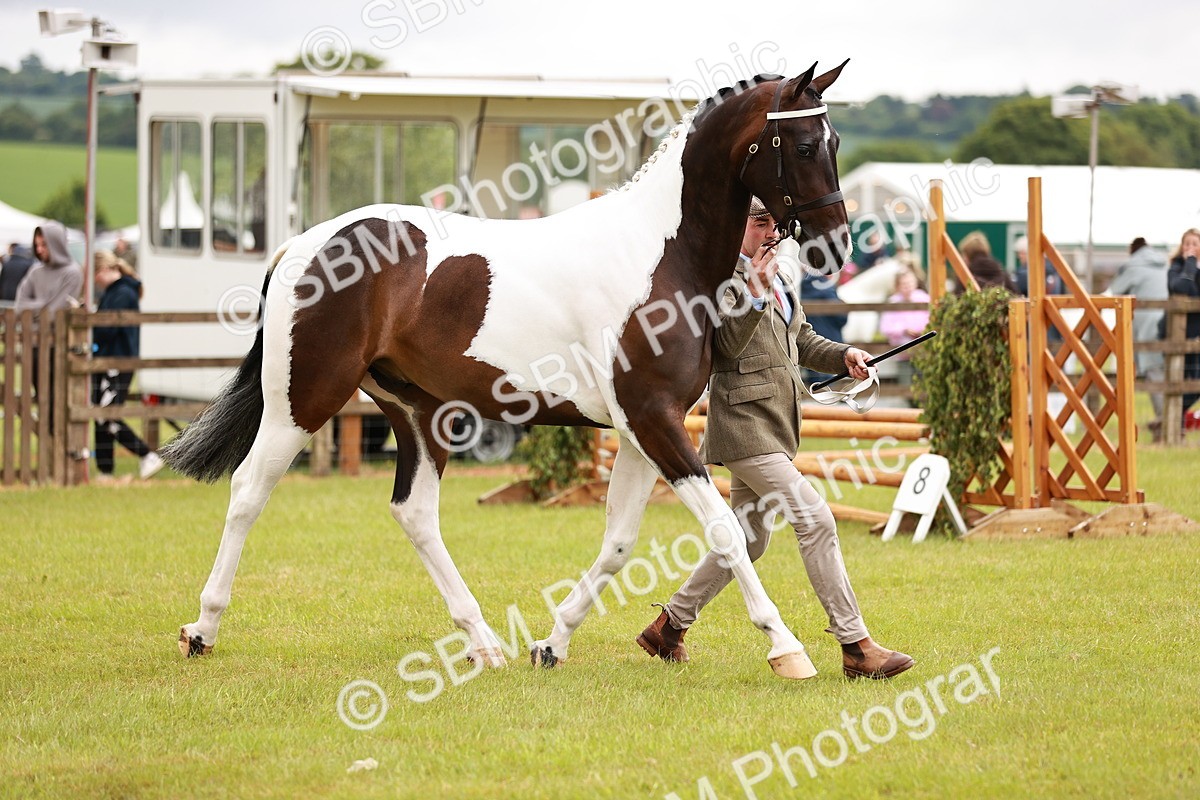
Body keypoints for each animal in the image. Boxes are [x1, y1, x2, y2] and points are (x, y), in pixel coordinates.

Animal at [163, 60, 853, 680]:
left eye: (835, 141)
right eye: (802, 144)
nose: (836, 245)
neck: (661, 256)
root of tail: (303, 245)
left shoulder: (643, 426)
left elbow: (620, 542)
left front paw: (552, 642)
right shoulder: (653, 419)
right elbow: (724, 532)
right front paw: (786, 647)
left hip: (420, 412)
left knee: (415, 513)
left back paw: (485, 643)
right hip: (302, 401)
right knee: (249, 491)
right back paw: (203, 629)